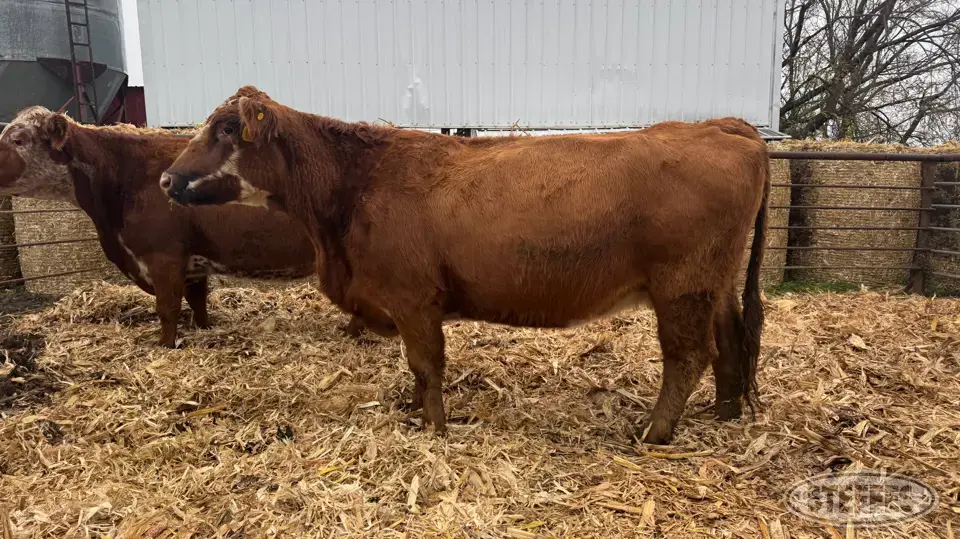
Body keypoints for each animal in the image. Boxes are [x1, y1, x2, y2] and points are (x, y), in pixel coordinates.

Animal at [0, 106, 367, 347]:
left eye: (19, 140)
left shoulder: (162, 257)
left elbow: (168, 308)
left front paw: (164, 345)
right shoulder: (193, 262)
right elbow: (197, 302)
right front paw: (203, 330)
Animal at [159, 86, 769, 444]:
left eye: (225, 129)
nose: (166, 179)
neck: (354, 185)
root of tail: (721, 125)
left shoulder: (413, 299)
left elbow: (428, 364)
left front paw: (435, 426)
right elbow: (414, 367)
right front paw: (412, 409)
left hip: (682, 286)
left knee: (688, 356)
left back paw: (655, 432)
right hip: (714, 283)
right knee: (729, 342)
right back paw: (725, 412)